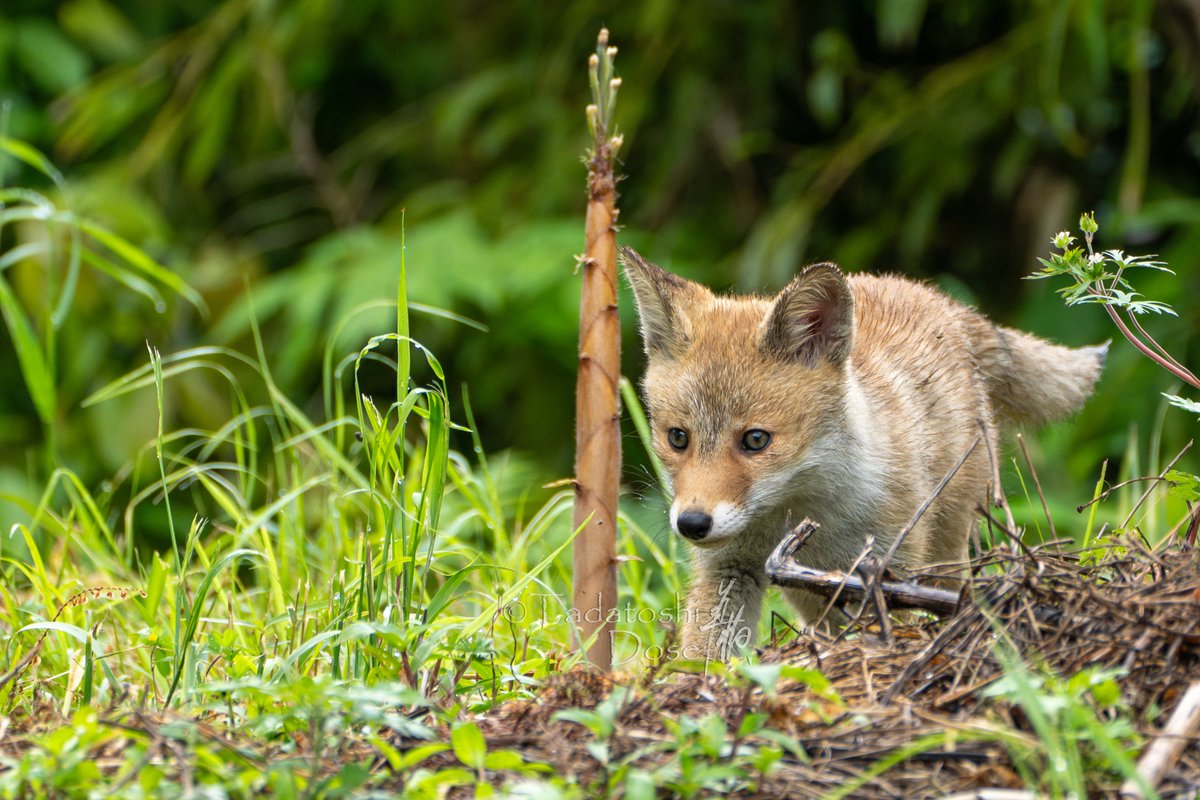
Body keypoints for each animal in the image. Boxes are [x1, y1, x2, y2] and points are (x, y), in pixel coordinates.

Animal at [624, 247, 1108, 662]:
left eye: (756, 440)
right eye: (678, 438)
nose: (692, 524)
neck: (805, 510)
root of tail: (944, 301)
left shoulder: (890, 568)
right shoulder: (730, 569)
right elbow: (703, 654)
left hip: (945, 546)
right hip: (809, 592)